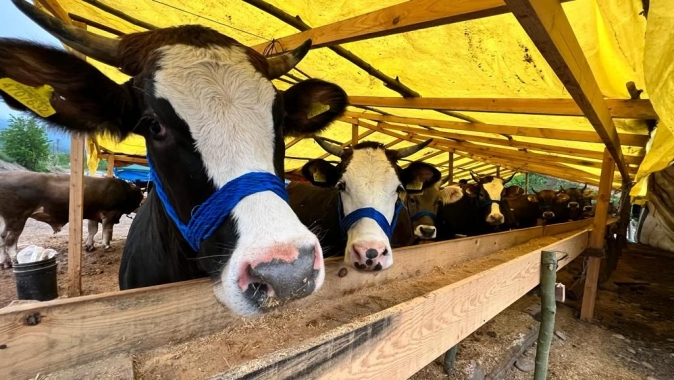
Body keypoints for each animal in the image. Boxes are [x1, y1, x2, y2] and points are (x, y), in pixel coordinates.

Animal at [0, 172, 143, 268]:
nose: (142, 203)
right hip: (17, 218)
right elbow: (107, 230)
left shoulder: (93, 214)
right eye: (140, 194)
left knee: (1, 238)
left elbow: (92, 230)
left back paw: (5, 262)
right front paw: (107, 246)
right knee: (10, 240)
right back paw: (14, 260)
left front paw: (89, 246)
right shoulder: (110, 214)